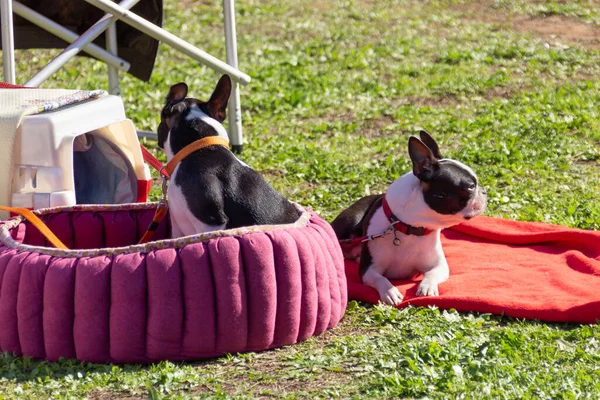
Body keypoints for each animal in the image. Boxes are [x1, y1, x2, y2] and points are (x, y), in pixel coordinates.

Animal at [332, 131, 488, 304]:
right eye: (470, 187)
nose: (485, 191)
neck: (409, 227)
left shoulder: (439, 265)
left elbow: (432, 273)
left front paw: (427, 287)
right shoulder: (369, 270)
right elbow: (380, 279)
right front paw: (390, 291)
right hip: (350, 223)